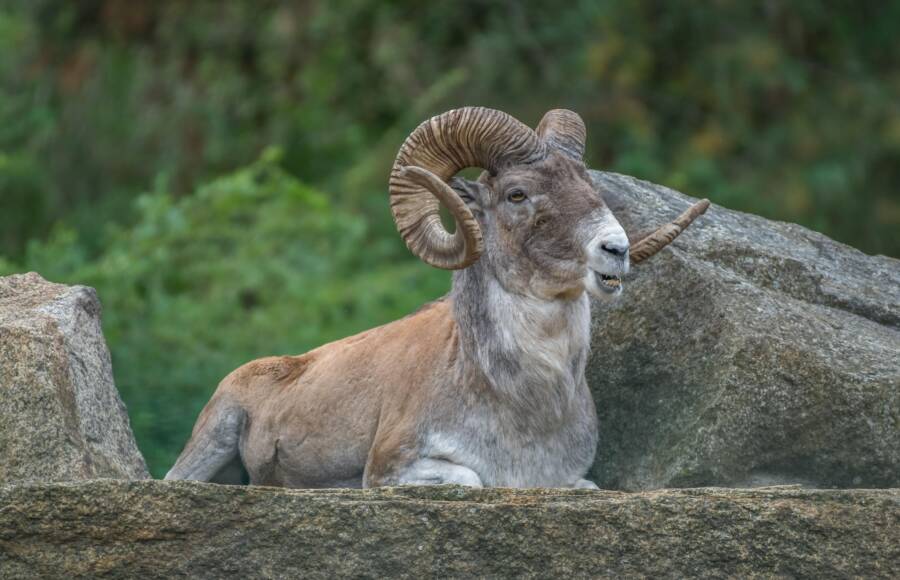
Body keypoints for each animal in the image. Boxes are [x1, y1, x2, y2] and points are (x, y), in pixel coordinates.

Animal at [165, 106, 708, 488]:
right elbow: (473, 478)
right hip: (210, 440)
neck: (524, 403)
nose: (615, 250)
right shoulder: (393, 469)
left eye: (588, 184)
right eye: (516, 194)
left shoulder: (574, 482)